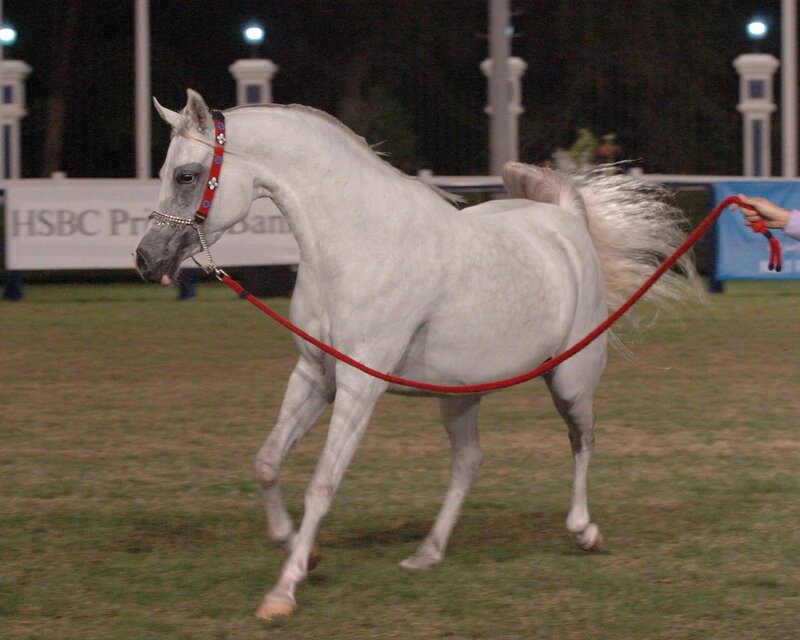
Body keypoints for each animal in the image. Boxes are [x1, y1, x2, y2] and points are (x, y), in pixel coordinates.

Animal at [134, 89, 696, 619]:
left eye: (187, 175)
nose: (145, 259)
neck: (357, 246)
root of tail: (565, 220)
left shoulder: (361, 385)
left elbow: (321, 485)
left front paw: (283, 591)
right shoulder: (315, 374)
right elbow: (267, 463)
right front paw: (302, 552)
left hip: (571, 380)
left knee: (582, 440)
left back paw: (584, 531)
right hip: (460, 393)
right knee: (468, 461)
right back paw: (428, 552)